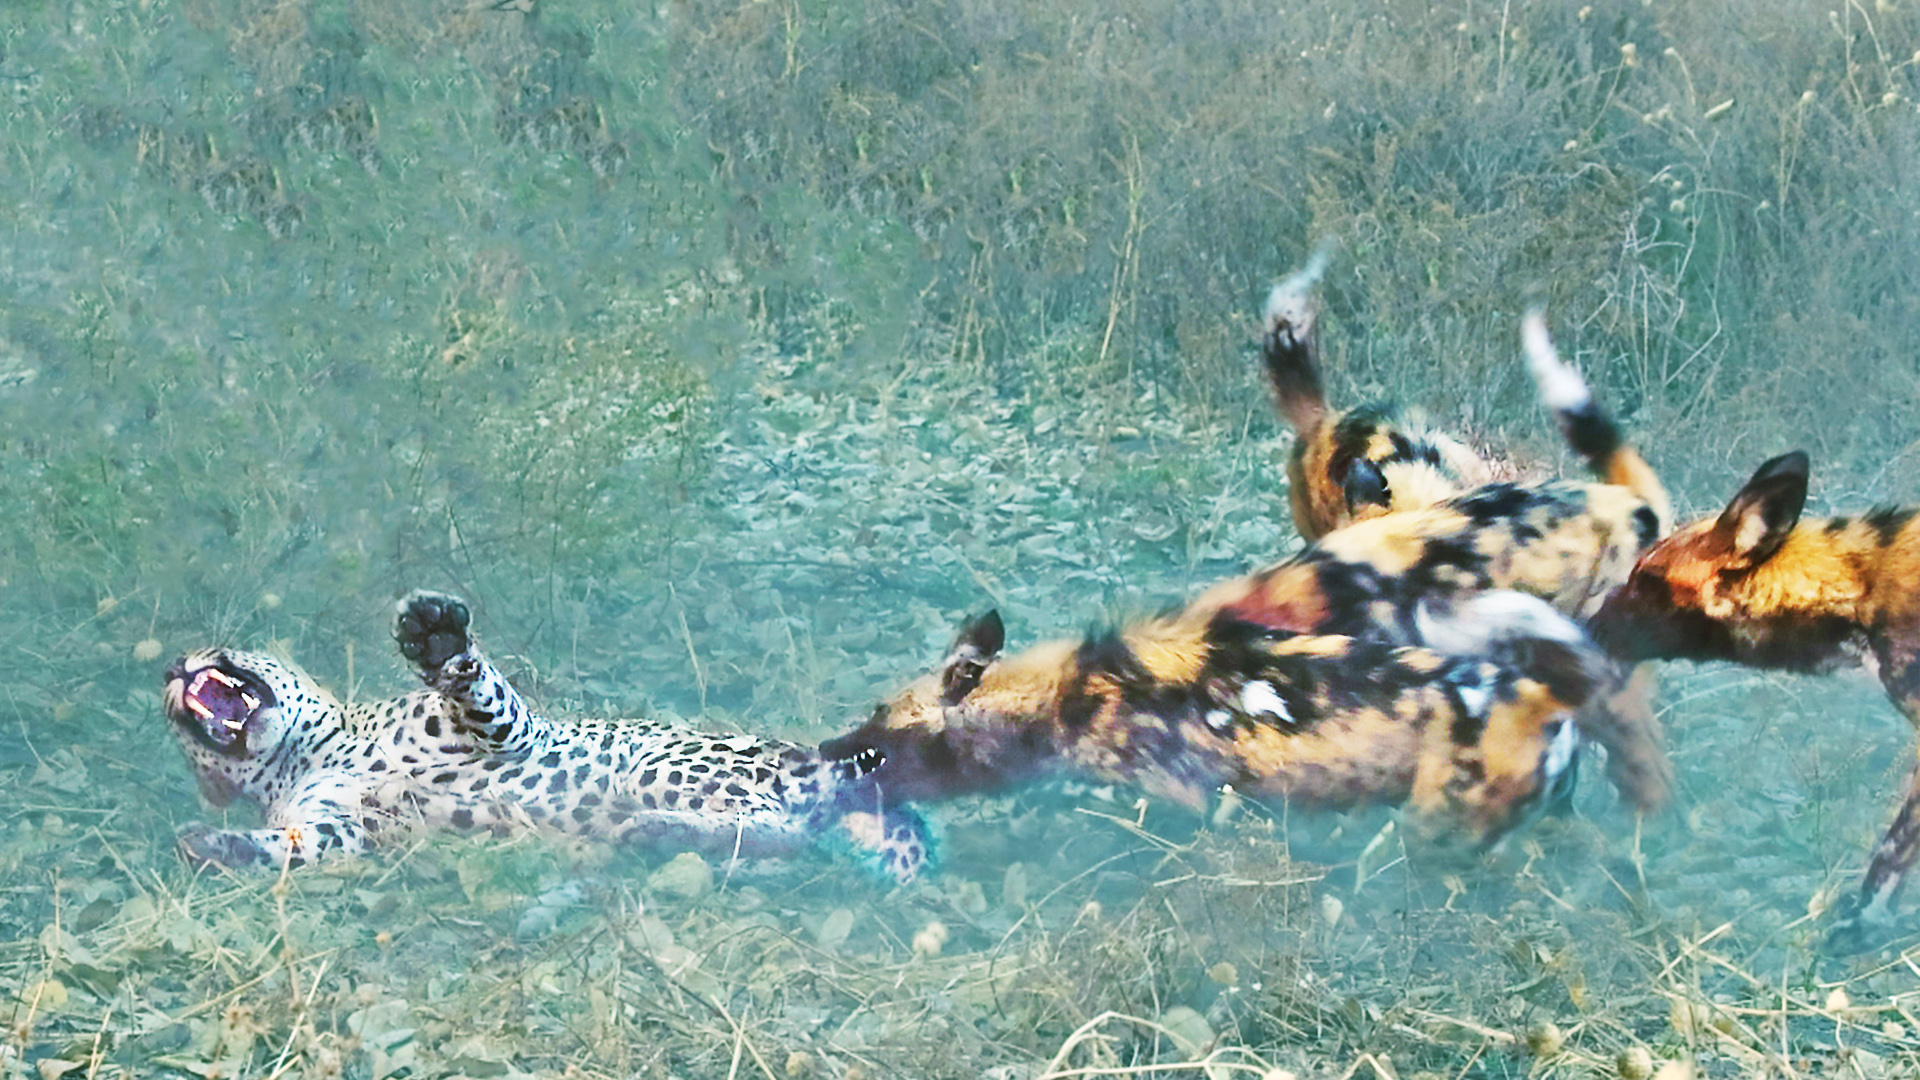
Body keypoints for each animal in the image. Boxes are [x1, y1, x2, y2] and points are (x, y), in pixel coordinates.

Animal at [165, 588, 929, 883]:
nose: (171, 668)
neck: (310, 755)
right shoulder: (340, 828)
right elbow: (295, 847)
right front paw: (214, 846)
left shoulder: (496, 733)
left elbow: (480, 691)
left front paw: (437, 638)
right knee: (791, 842)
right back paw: (655, 838)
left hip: (659, 764)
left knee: (786, 825)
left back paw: (655, 829)